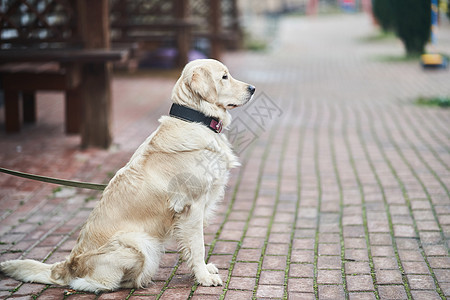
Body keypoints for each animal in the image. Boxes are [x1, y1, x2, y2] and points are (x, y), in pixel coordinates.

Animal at [0, 59, 255, 292]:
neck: (195, 118)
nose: (252, 88)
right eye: (224, 77)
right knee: (89, 283)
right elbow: (198, 245)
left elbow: (195, 247)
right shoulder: (192, 206)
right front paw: (204, 277)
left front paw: (203, 269)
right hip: (140, 243)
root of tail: (68, 264)